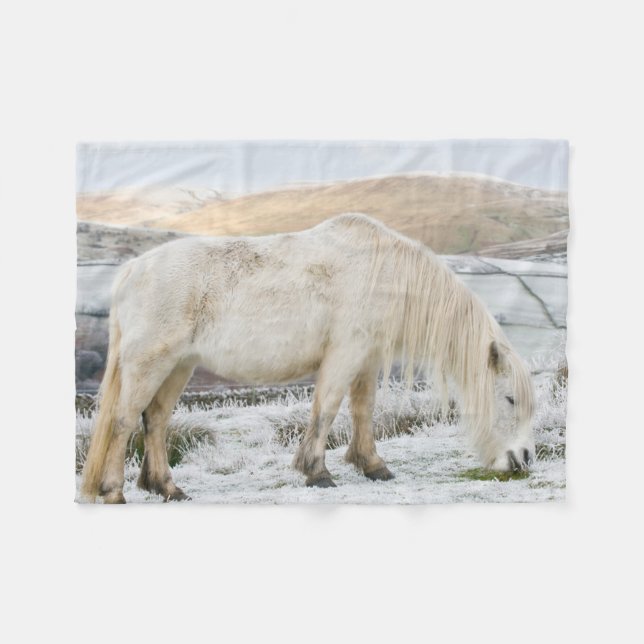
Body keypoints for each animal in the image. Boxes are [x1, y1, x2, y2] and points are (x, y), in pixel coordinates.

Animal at [80, 213, 535, 503]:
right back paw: (115, 492)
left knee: (155, 421)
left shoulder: (366, 358)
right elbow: (327, 409)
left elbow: (363, 410)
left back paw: (168, 488)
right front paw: (317, 472)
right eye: (510, 398)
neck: (383, 271)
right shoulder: (346, 353)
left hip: (179, 365)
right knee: (123, 422)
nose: (524, 460)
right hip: (150, 363)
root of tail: (132, 270)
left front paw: (372, 465)